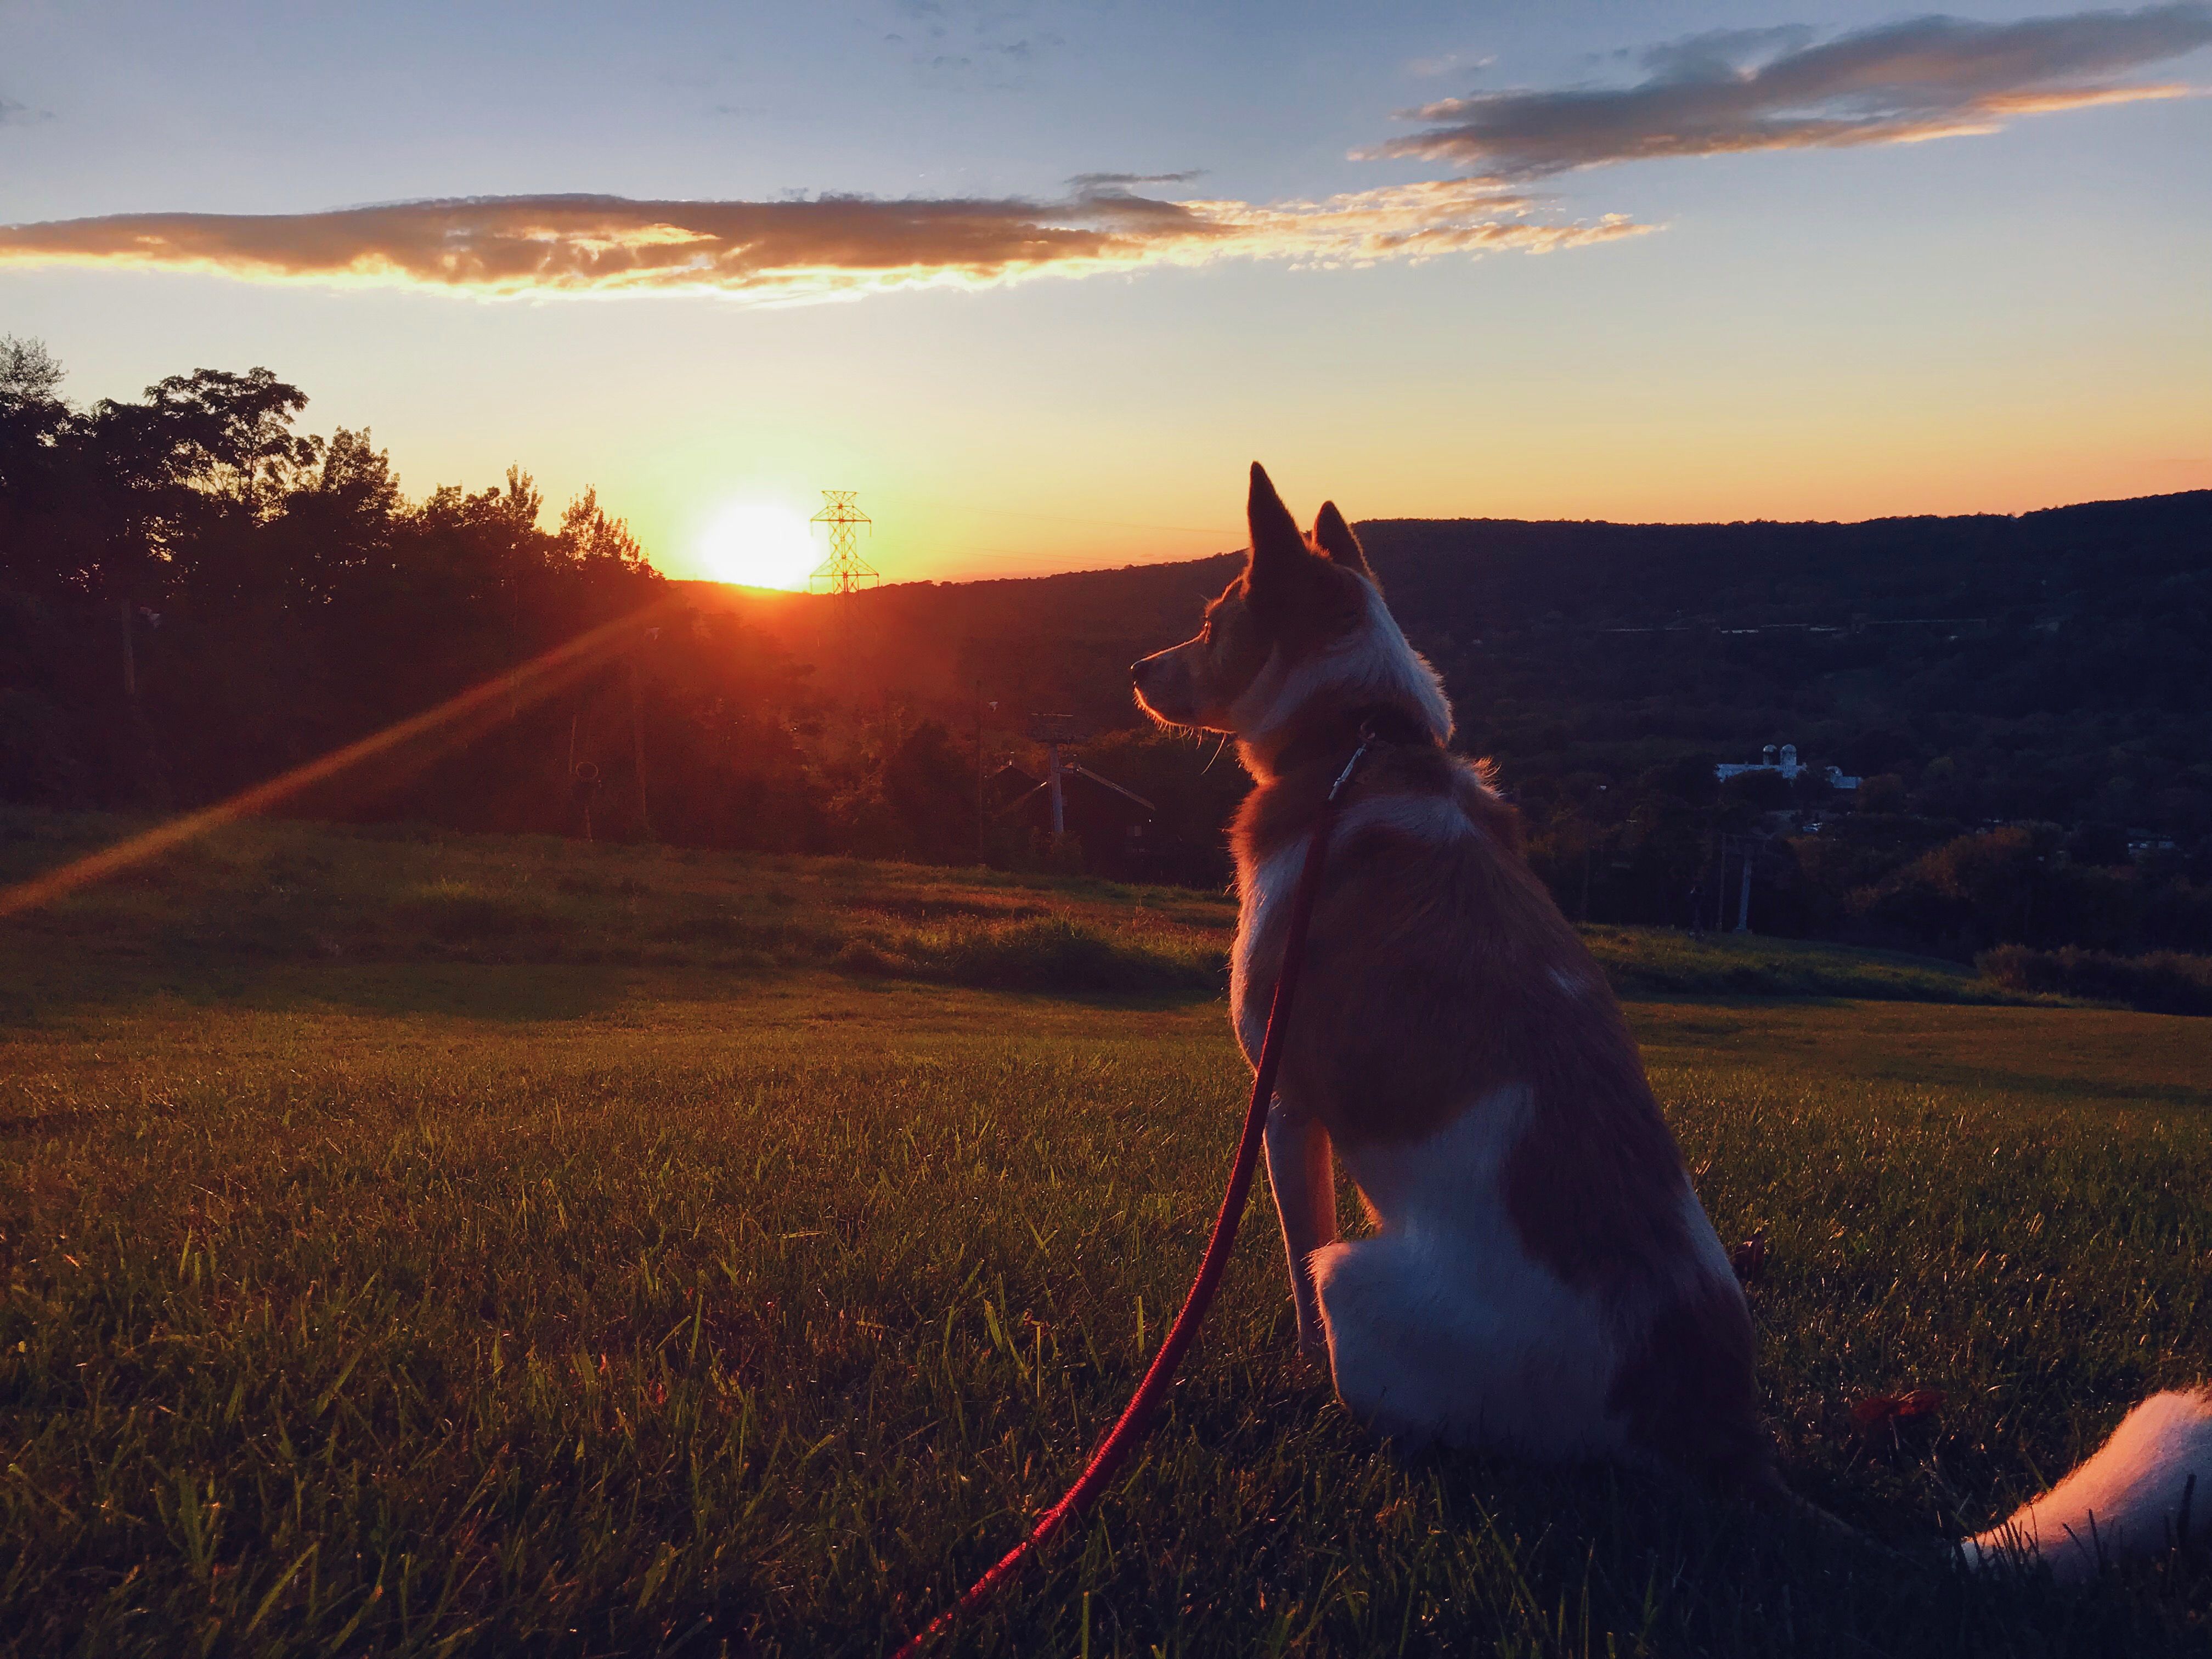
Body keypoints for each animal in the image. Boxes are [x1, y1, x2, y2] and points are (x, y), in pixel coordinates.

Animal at [1132, 469, 2212, 1583]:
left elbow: (1294, 1256)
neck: (1361, 741)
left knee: (1363, 1326)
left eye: (1211, 622)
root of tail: (1713, 1430)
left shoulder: (1285, 1108)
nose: (1132, 671)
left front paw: (1294, 1368)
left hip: (1364, 1281)